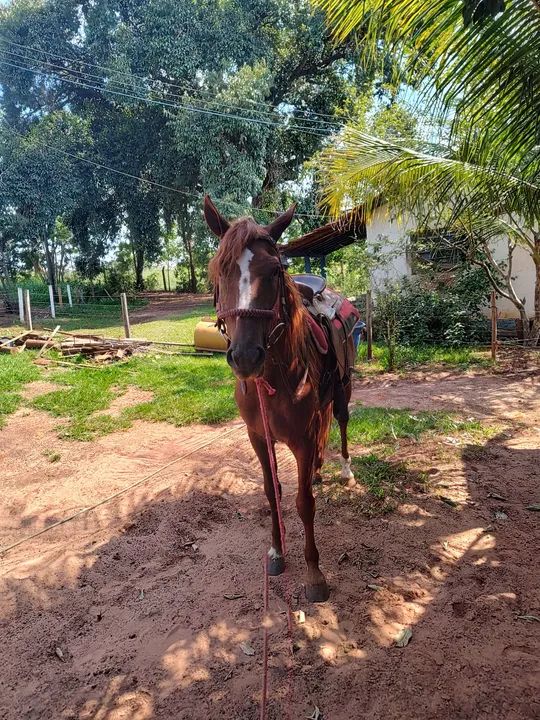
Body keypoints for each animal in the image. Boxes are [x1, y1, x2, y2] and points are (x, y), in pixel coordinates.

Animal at [204, 195, 354, 602]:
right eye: (219, 271)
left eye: (273, 271)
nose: (245, 357)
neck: (277, 378)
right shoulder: (258, 437)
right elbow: (273, 493)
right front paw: (275, 552)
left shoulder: (302, 439)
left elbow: (304, 503)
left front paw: (314, 573)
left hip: (345, 389)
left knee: (341, 424)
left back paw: (345, 470)